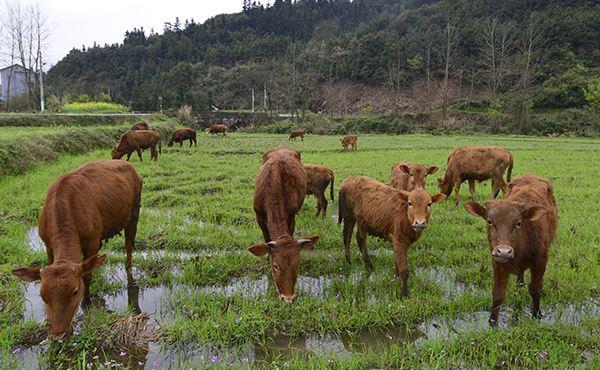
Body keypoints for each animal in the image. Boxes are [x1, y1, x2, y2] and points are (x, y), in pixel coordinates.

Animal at [12, 160, 144, 340]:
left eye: (75, 292)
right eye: (42, 296)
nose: (58, 335)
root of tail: (126, 164)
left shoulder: (92, 242)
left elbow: (87, 275)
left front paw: (86, 301)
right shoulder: (47, 245)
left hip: (134, 213)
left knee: (129, 243)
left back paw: (128, 266)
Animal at [250, 146, 322, 302]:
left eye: (297, 265)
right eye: (276, 266)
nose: (288, 298)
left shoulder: (291, 216)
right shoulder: (259, 216)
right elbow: (266, 240)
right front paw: (267, 261)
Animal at [464, 173, 556, 324]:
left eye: (518, 223)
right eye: (489, 221)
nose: (503, 251)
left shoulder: (541, 262)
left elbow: (535, 290)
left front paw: (536, 315)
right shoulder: (497, 264)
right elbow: (497, 295)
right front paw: (492, 322)